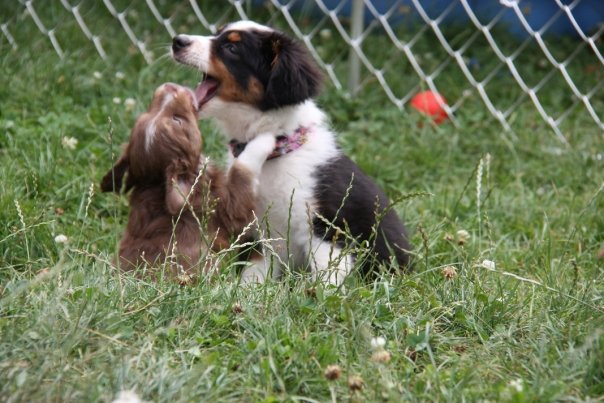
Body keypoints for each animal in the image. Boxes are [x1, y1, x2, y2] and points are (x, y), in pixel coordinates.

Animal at [102, 83, 276, 280]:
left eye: (146, 113)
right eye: (178, 120)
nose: (169, 86)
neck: (155, 186)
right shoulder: (226, 210)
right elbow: (242, 173)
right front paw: (265, 138)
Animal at [172, 20, 412, 286]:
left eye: (231, 48)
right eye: (217, 33)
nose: (177, 41)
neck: (278, 152)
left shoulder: (325, 227)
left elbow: (327, 273)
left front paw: (319, 294)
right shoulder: (258, 231)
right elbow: (254, 272)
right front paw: (247, 292)